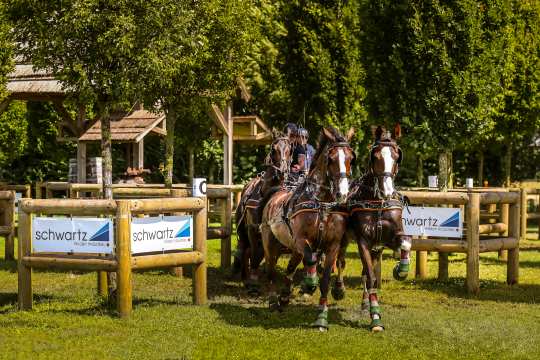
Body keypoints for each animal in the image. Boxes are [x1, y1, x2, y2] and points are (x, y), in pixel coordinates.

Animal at [232, 132, 292, 292]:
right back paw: (243, 273)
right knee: (245, 249)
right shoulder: (252, 229)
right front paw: (253, 280)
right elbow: (254, 252)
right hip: (243, 230)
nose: (282, 172)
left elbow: (267, 255)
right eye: (273, 149)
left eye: (289, 149)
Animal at [260, 127, 356, 332]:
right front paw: (310, 284)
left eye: (351, 158)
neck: (322, 203)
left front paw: (321, 318)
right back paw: (273, 301)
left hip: (294, 249)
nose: (342, 193)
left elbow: (325, 280)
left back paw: (285, 295)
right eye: (331, 159)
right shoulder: (302, 240)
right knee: (271, 270)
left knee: (290, 267)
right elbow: (311, 259)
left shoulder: (333, 246)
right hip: (271, 243)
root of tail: (277, 193)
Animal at [344, 126, 412, 332]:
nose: (386, 191)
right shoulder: (363, 242)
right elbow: (372, 277)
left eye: (397, 156)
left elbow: (406, 242)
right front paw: (375, 319)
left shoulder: (388, 238)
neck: (377, 202)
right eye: (375, 156)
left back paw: (365, 302)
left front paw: (400, 270)